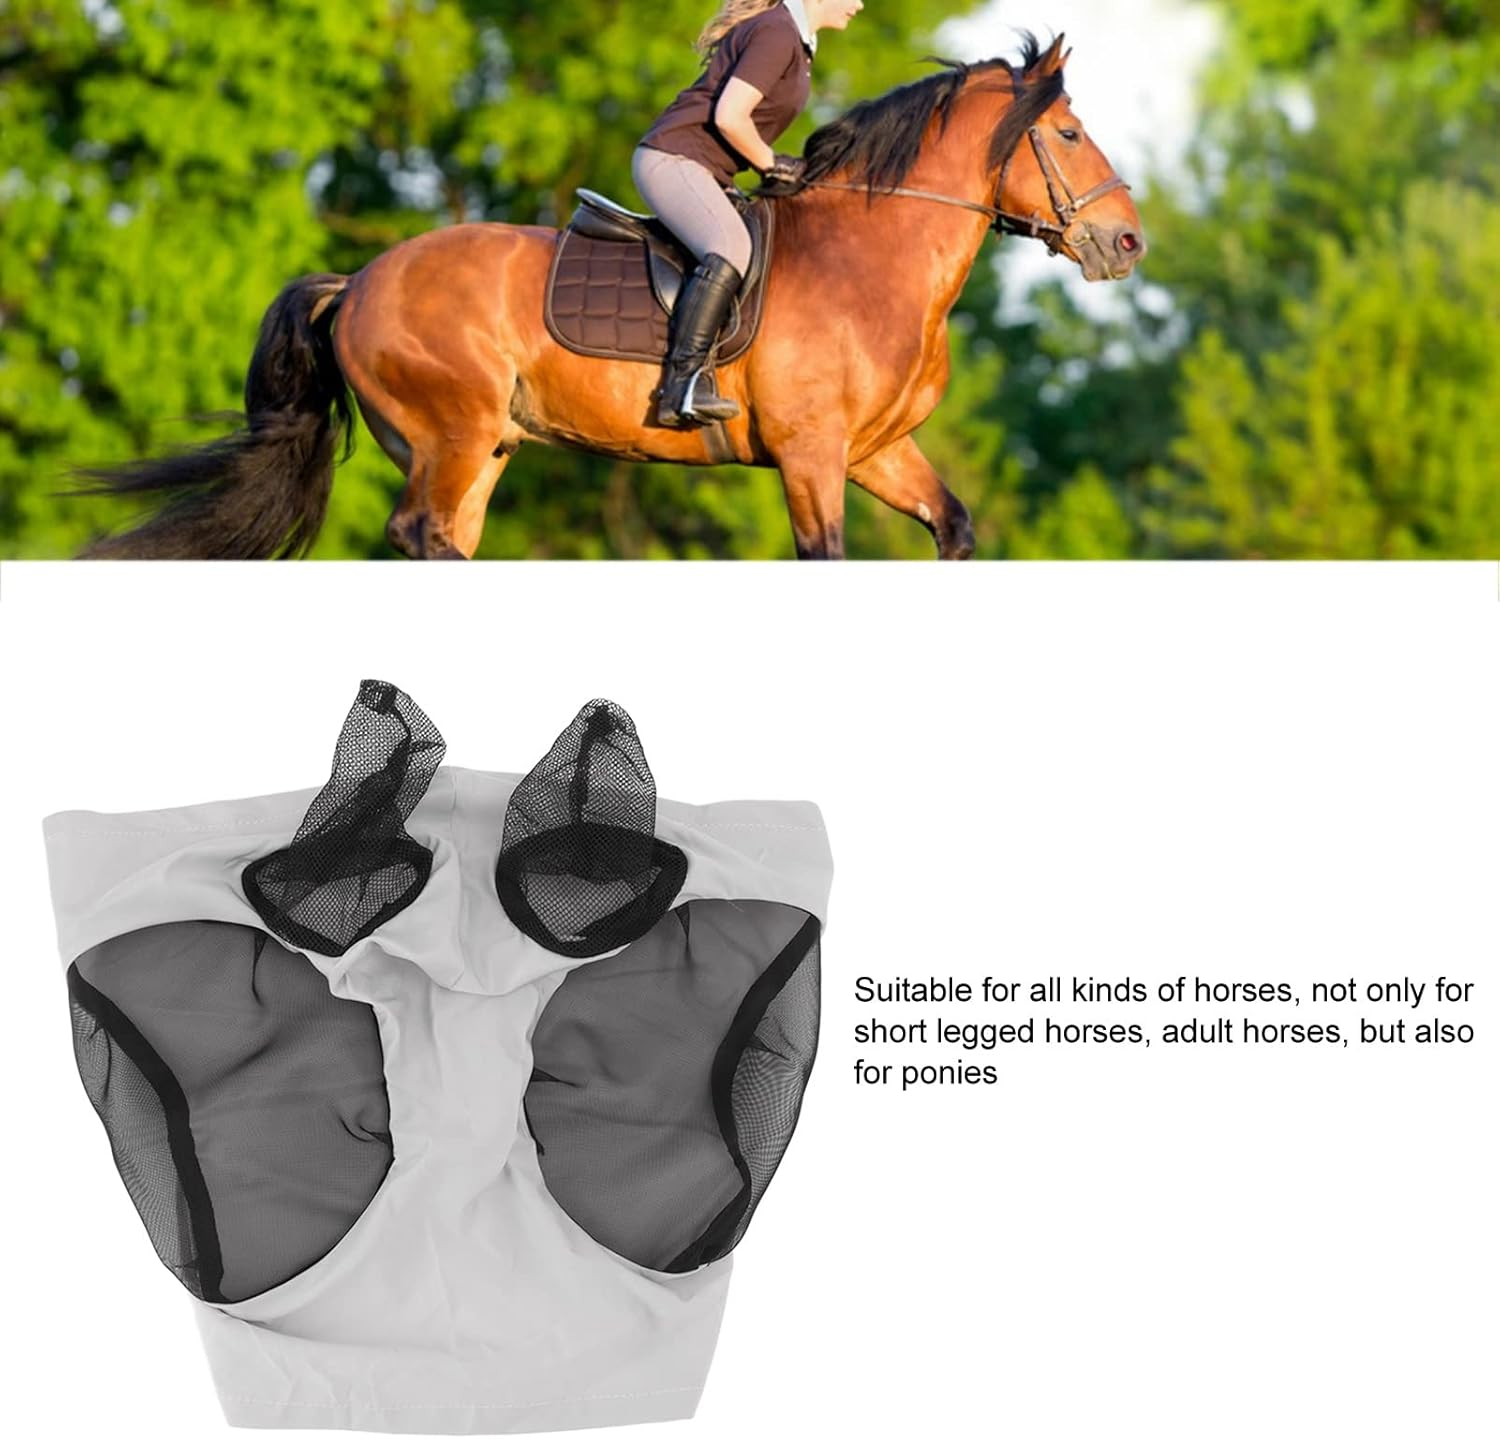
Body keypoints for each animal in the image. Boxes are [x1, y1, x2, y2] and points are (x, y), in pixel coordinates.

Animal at [78, 33, 1145, 561]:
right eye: (1072, 134)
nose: (1129, 241)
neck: (871, 257)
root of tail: (362, 279)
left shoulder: (877, 450)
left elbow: (954, 528)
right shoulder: (812, 457)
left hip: (482, 449)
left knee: (441, 542)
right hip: (450, 434)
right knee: (422, 537)